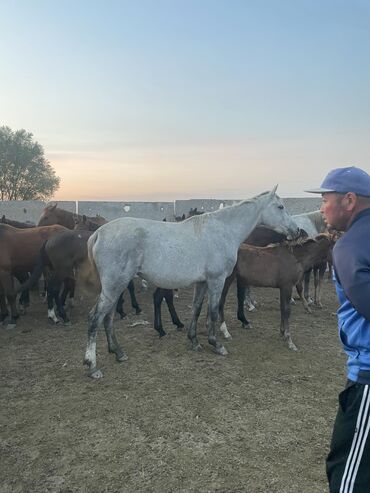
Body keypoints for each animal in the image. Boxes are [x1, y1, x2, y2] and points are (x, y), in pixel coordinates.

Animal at [83, 186, 298, 378]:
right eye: (280, 207)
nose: (296, 230)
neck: (223, 231)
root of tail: (99, 233)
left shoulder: (202, 282)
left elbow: (196, 308)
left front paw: (194, 341)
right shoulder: (216, 280)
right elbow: (213, 312)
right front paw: (216, 344)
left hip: (116, 286)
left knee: (108, 317)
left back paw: (118, 353)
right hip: (114, 286)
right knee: (95, 317)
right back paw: (92, 366)